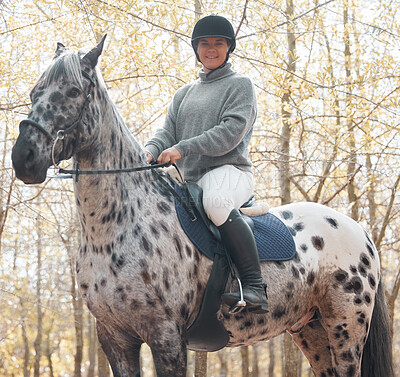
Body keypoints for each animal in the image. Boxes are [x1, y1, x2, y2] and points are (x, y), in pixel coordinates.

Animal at [11, 36, 394, 376]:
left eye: (73, 91)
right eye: (34, 91)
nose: (24, 158)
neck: (116, 226)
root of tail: (358, 229)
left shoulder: (166, 338)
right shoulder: (115, 339)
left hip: (345, 327)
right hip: (311, 329)